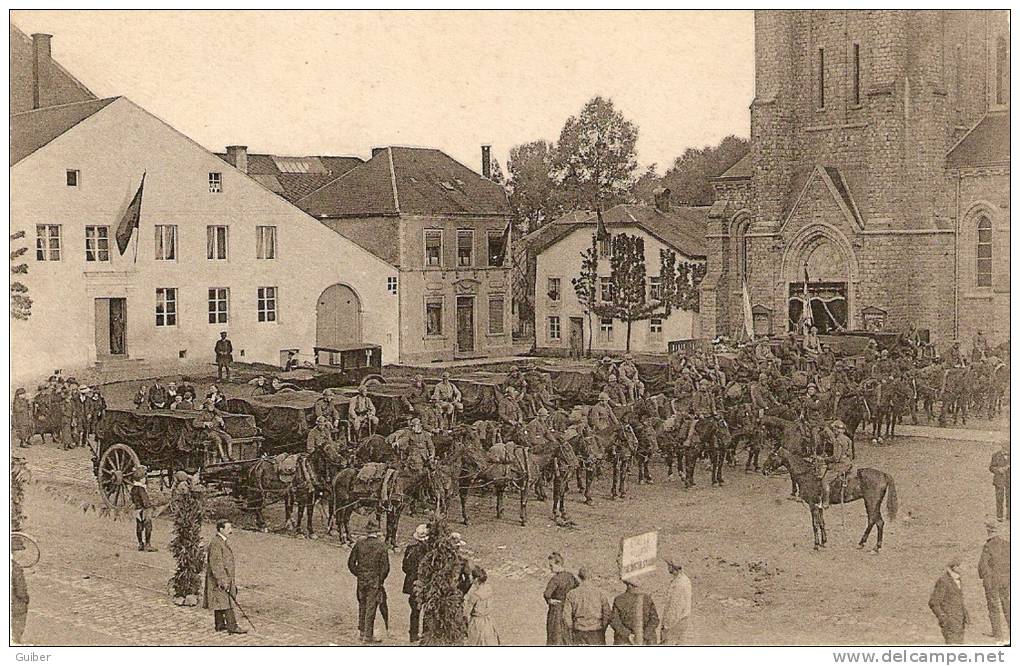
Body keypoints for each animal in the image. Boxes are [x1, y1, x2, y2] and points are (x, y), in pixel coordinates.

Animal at [762, 446, 897, 550]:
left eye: (772, 456)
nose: (764, 470)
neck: (807, 475)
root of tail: (883, 475)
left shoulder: (812, 505)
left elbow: (815, 524)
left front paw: (816, 544)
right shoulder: (819, 505)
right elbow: (822, 523)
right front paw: (823, 541)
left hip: (871, 502)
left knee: (872, 520)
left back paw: (863, 543)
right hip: (874, 504)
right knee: (879, 522)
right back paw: (876, 546)